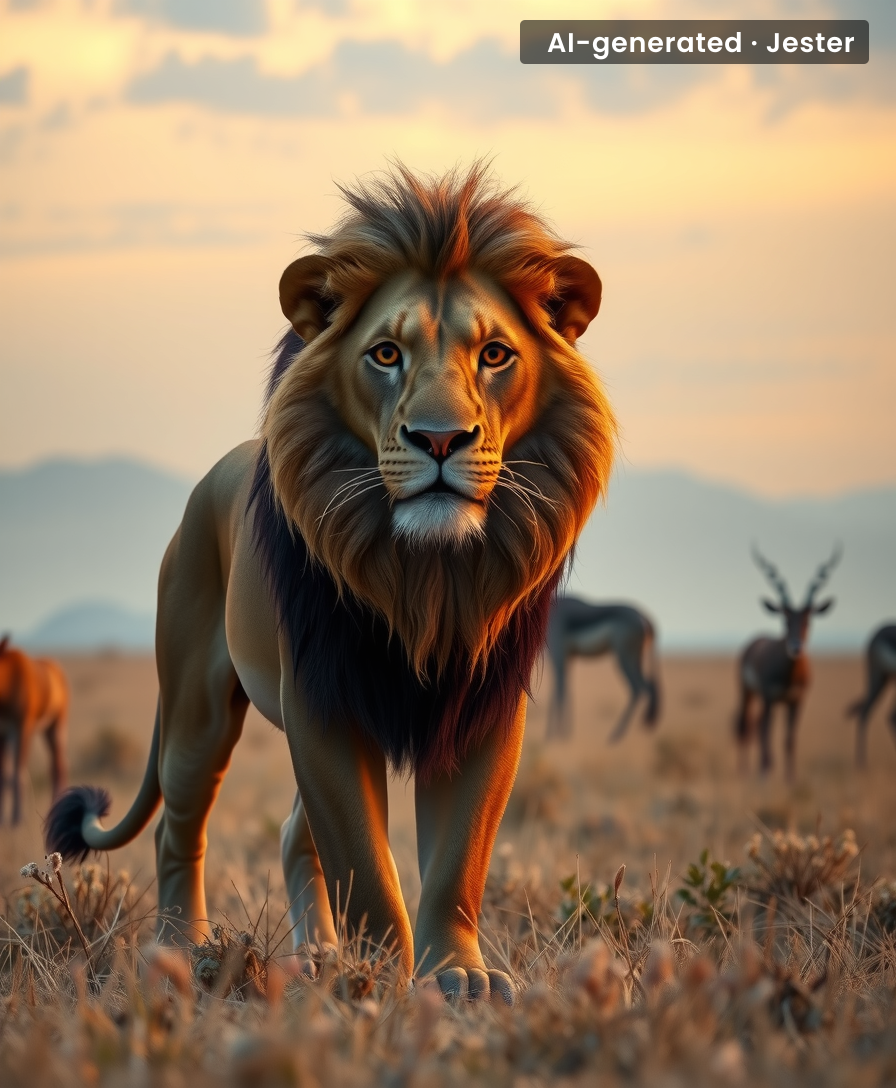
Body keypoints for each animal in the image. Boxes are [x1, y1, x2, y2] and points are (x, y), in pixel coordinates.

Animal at [0, 634, 69, 825]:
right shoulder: (3, 733)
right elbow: (3, 774)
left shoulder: (23, 727)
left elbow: (17, 773)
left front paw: (17, 820)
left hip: (55, 728)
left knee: (58, 768)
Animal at [46, 163, 615, 1002]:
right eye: (384, 354)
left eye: (495, 355)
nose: (440, 438)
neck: (427, 578)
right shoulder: (323, 699)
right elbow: (366, 866)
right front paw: (380, 977)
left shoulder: (482, 705)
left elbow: (458, 860)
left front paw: (459, 977)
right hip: (196, 707)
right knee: (181, 827)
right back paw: (188, 951)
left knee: (290, 835)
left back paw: (314, 955)